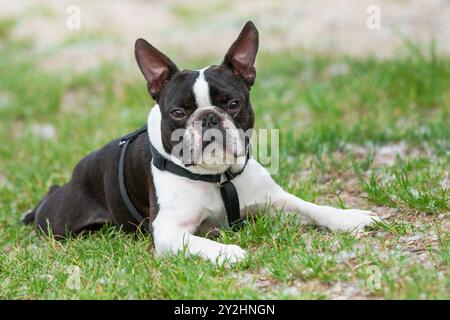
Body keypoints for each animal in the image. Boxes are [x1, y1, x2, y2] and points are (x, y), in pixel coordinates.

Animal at [22, 21, 382, 264]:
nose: (208, 118)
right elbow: (200, 242)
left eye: (233, 104)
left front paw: (350, 218)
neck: (218, 176)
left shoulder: (275, 199)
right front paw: (229, 252)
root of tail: (72, 178)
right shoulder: (168, 232)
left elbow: (313, 207)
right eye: (178, 112)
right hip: (59, 222)